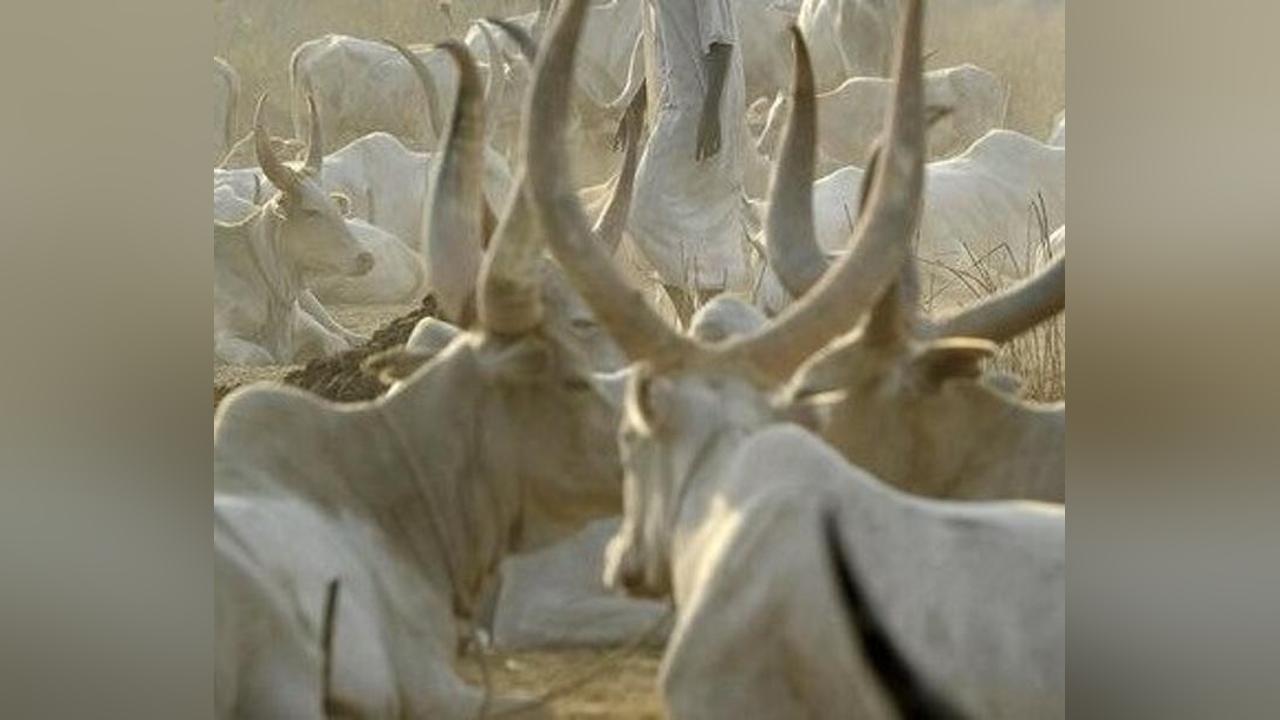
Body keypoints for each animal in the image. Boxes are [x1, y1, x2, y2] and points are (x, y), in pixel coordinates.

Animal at [214, 96, 373, 366]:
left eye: (335, 207)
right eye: (310, 211)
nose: (365, 258)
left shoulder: (306, 322)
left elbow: (336, 342)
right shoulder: (224, 340)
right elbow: (262, 356)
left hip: (309, 298)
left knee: (338, 329)